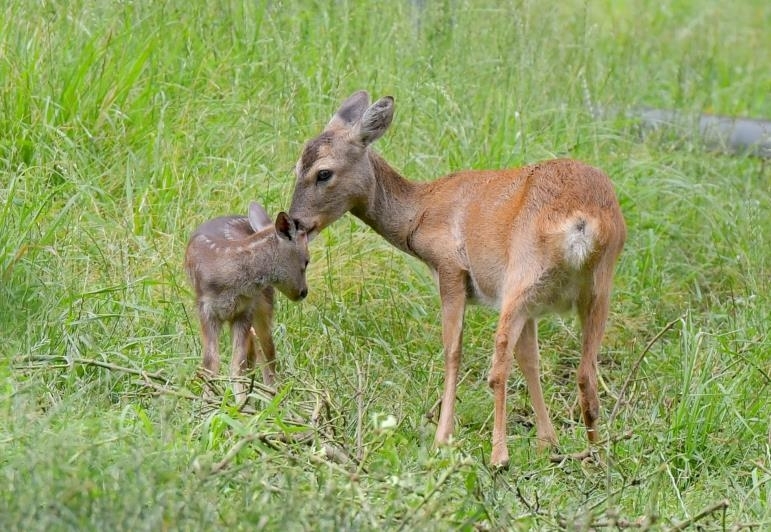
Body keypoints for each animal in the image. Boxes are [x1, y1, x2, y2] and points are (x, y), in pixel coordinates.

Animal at [290, 90, 628, 466]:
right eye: (296, 168)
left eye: (323, 173)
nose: (294, 222)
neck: (419, 212)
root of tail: (582, 222)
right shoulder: (533, 310)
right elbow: (531, 361)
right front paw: (548, 443)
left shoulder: (450, 269)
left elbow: (453, 350)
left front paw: (442, 438)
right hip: (594, 289)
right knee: (585, 373)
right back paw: (595, 455)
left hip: (522, 275)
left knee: (499, 368)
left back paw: (499, 456)